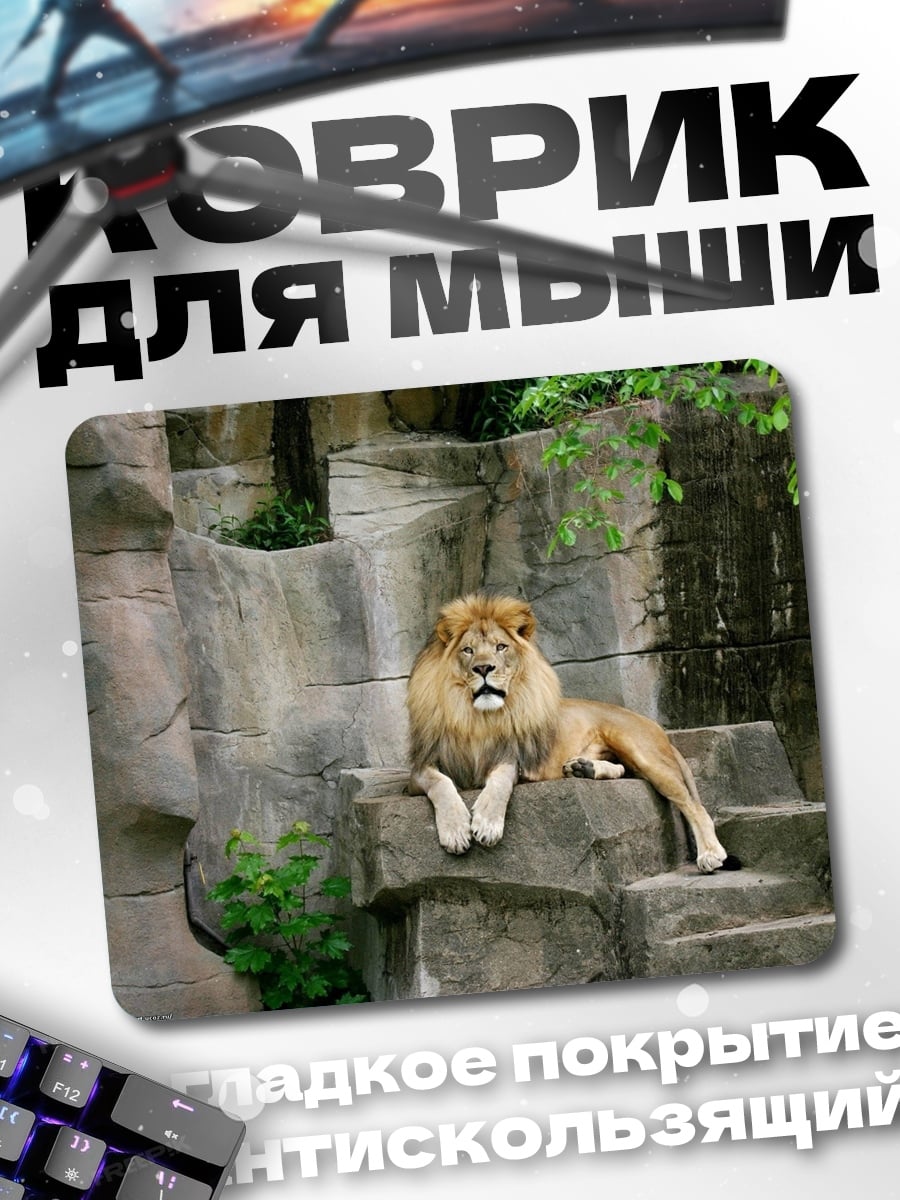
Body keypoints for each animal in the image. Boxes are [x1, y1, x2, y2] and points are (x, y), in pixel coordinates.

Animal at [406, 593, 739, 874]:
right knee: (624, 770)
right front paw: (456, 830)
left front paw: (487, 823)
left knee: (693, 804)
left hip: (639, 749)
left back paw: (710, 854)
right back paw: (584, 768)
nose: (484, 668)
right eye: (468, 650)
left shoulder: (515, 759)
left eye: (501, 647)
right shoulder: (420, 768)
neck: (477, 719)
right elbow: (441, 783)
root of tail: (653, 723)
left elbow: (500, 779)